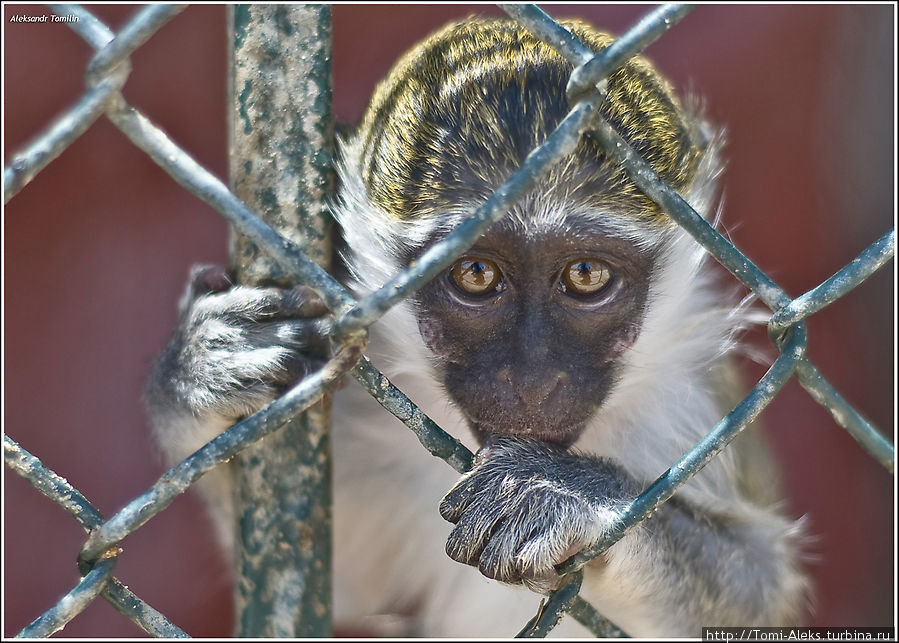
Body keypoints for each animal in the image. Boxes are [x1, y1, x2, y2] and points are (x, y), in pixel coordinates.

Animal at [148, 16, 808, 640]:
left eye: (586, 274)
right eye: (475, 273)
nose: (533, 381)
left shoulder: (689, 405)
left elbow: (761, 594)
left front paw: (567, 493)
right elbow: (343, 577)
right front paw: (197, 369)